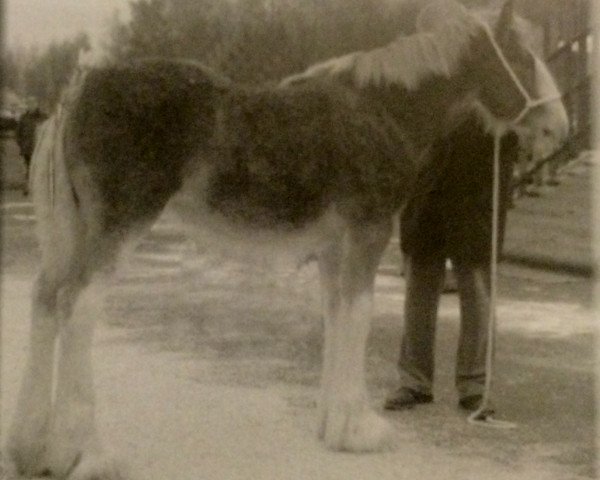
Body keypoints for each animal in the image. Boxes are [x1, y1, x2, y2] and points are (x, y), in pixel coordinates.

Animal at [5, 0, 568, 476]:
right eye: (522, 56)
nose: (559, 127)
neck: (382, 109)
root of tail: (81, 89)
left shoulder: (334, 250)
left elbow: (338, 317)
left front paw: (332, 425)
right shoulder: (367, 235)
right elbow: (359, 318)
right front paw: (360, 430)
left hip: (73, 235)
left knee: (46, 300)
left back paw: (33, 449)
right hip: (117, 230)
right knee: (78, 309)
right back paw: (87, 454)